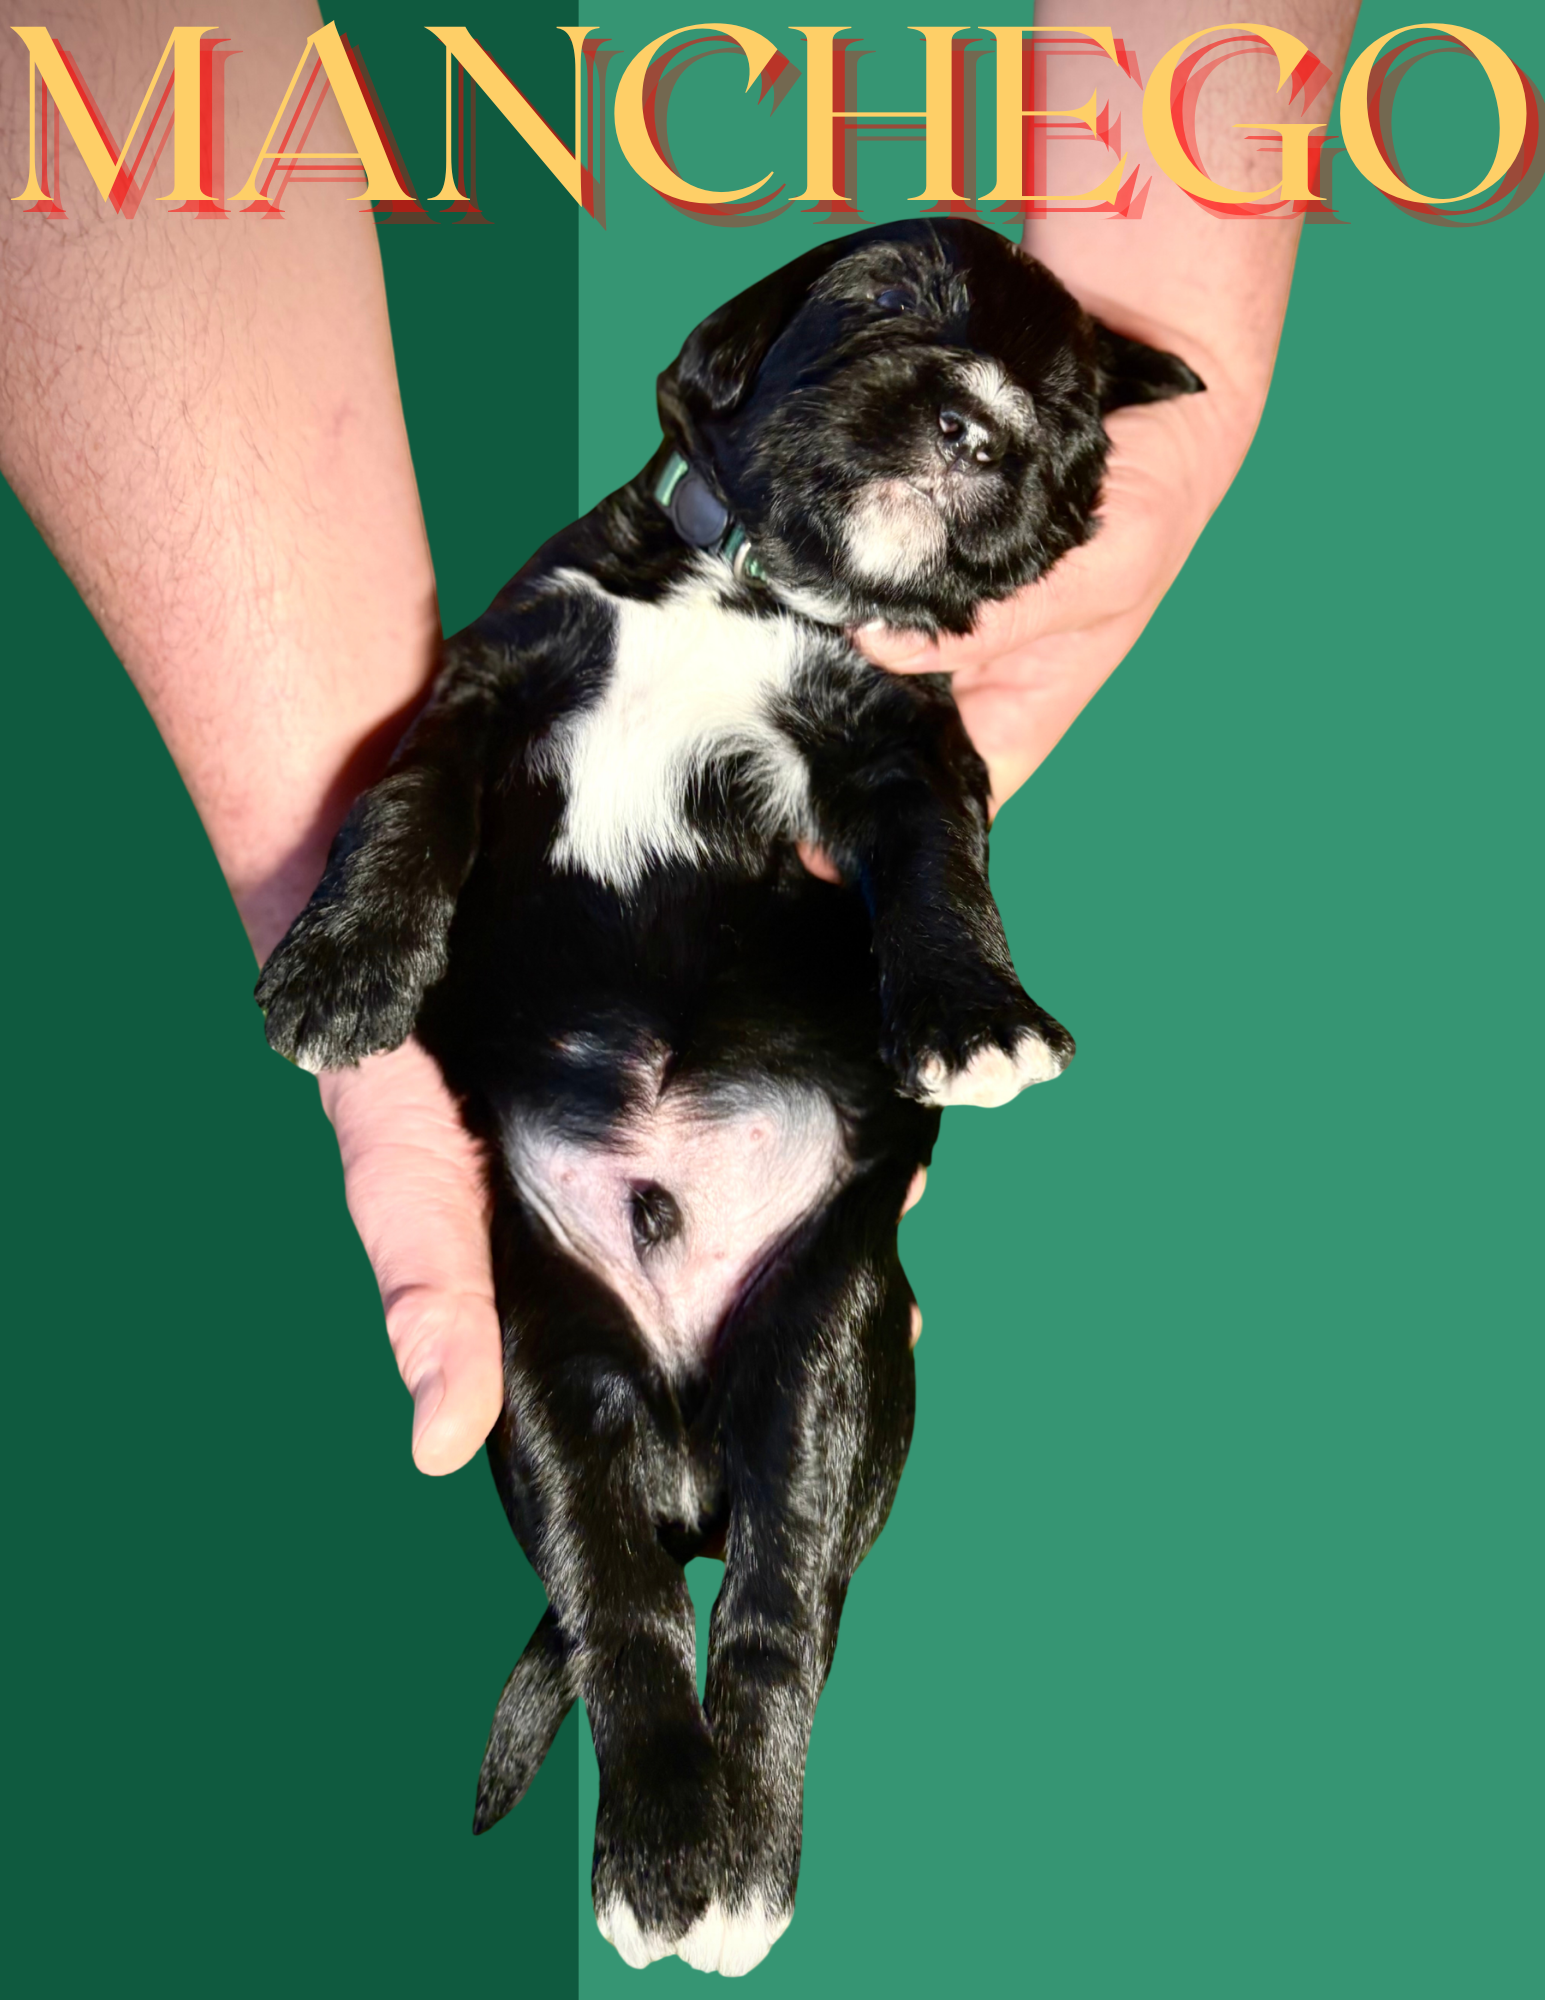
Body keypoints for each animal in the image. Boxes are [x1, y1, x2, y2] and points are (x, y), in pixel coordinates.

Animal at [257, 217, 1202, 1975]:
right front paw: (344, 971)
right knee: (619, 1606)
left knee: (776, 1612)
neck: (744, 585)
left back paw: (735, 1859)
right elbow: (403, 798)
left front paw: (976, 1018)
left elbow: (937, 866)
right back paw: (664, 1848)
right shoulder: (491, 677)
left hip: (835, 1349)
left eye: (1067, 416)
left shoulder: (902, 737)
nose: (986, 427)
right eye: (884, 303)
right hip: (545, 1371)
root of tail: (690, 1473)